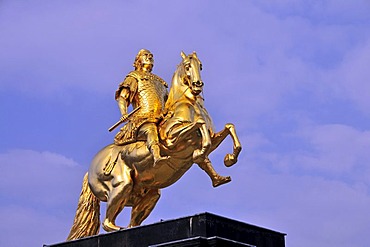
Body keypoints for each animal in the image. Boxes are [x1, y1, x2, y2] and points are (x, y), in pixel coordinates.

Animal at [67, 51, 241, 239]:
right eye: (188, 65)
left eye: (200, 65)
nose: (197, 84)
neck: (186, 104)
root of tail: (90, 170)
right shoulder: (172, 140)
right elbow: (199, 125)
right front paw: (200, 153)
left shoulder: (213, 138)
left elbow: (228, 127)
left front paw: (229, 160)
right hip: (121, 185)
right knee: (107, 223)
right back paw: (119, 230)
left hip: (149, 195)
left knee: (131, 223)